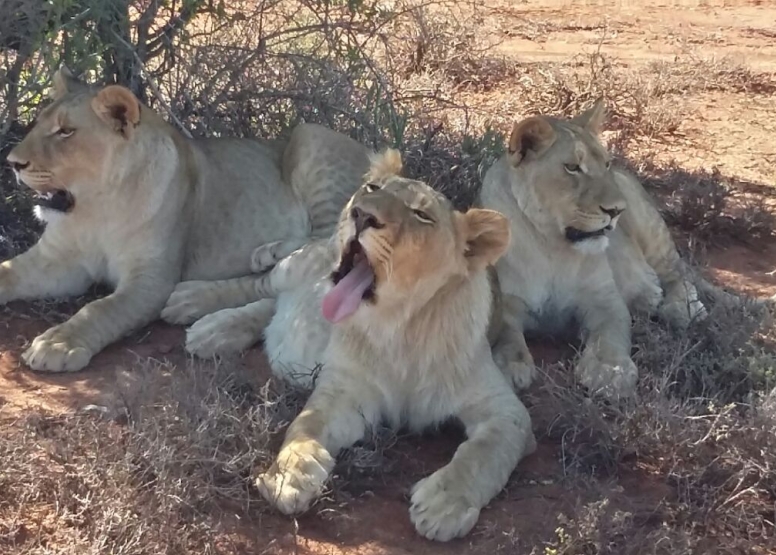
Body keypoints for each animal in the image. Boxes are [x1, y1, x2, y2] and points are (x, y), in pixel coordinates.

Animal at [1, 67, 370, 372]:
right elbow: (7, 271)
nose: (12, 162)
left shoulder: (151, 281)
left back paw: (213, 322)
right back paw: (260, 260)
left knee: (319, 264)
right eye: (38, 123)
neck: (96, 209)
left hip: (312, 138)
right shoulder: (55, 258)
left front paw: (58, 343)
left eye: (65, 132)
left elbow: (100, 309)